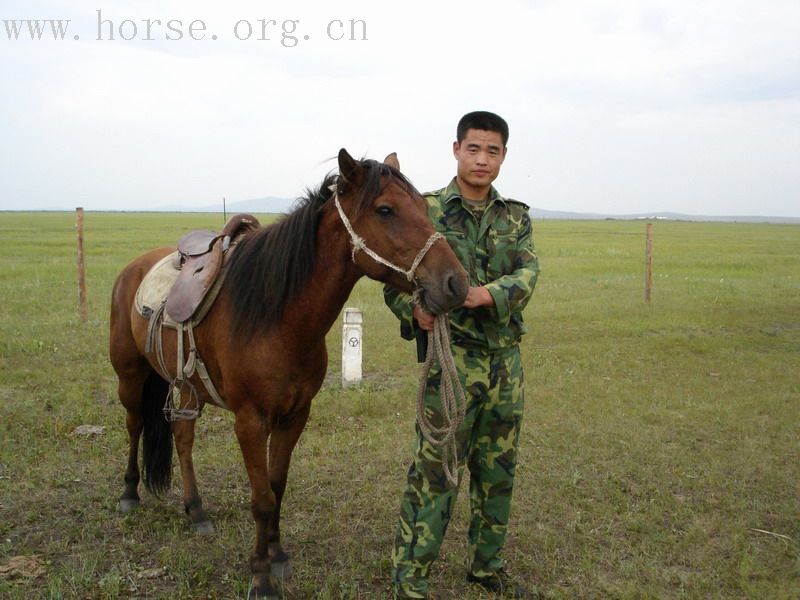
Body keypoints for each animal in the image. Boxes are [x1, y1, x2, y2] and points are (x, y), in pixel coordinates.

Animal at [107, 149, 468, 596]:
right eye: (385, 210)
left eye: (423, 206)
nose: (456, 283)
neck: (279, 317)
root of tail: (134, 267)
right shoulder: (250, 421)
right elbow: (261, 497)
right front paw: (260, 575)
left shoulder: (295, 415)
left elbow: (276, 487)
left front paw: (277, 556)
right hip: (130, 374)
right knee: (135, 424)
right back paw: (129, 493)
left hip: (187, 386)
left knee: (183, 437)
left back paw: (196, 511)